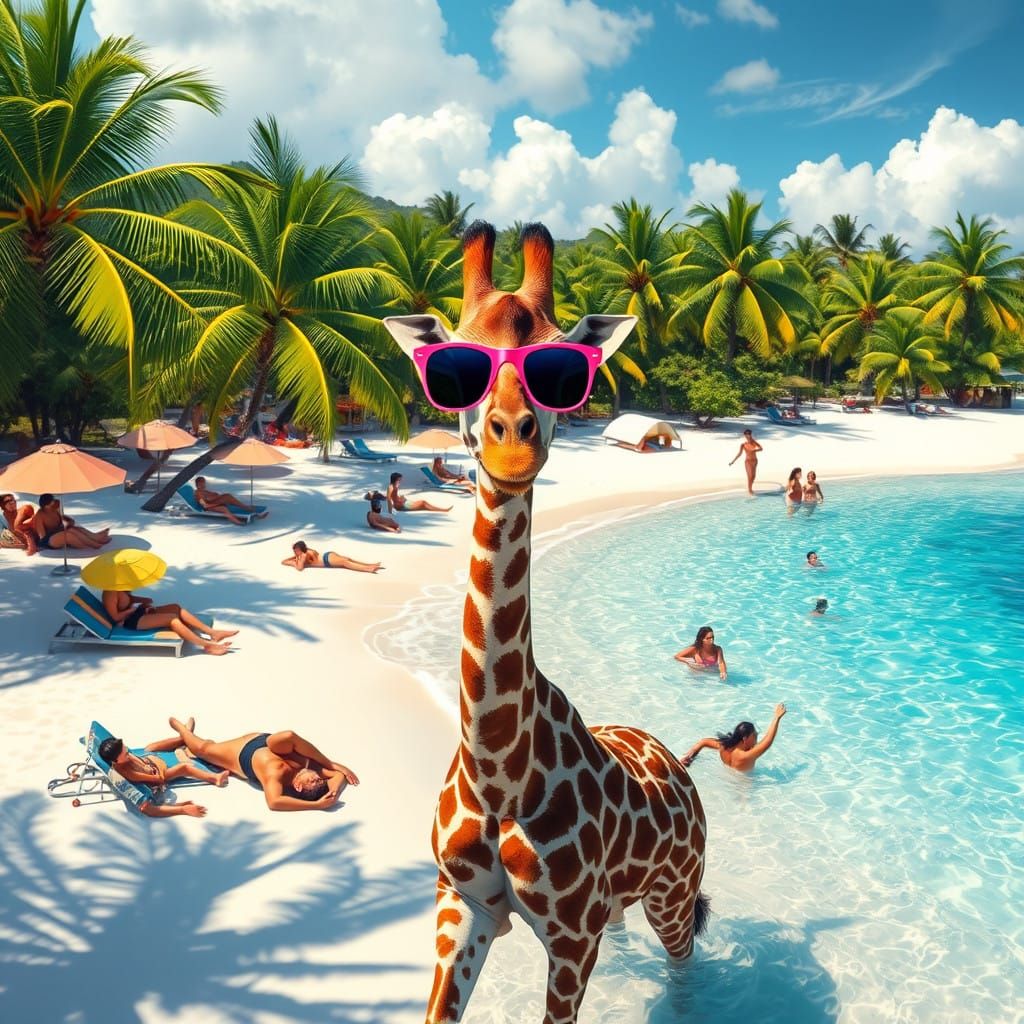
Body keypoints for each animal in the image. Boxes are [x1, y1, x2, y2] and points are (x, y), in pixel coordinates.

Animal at [384, 222, 708, 1024]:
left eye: (561, 362)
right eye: (455, 359)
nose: (513, 443)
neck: (500, 771)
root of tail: (681, 767)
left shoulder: (569, 935)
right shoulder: (462, 903)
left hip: (671, 895)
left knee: (686, 963)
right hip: (620, 909)